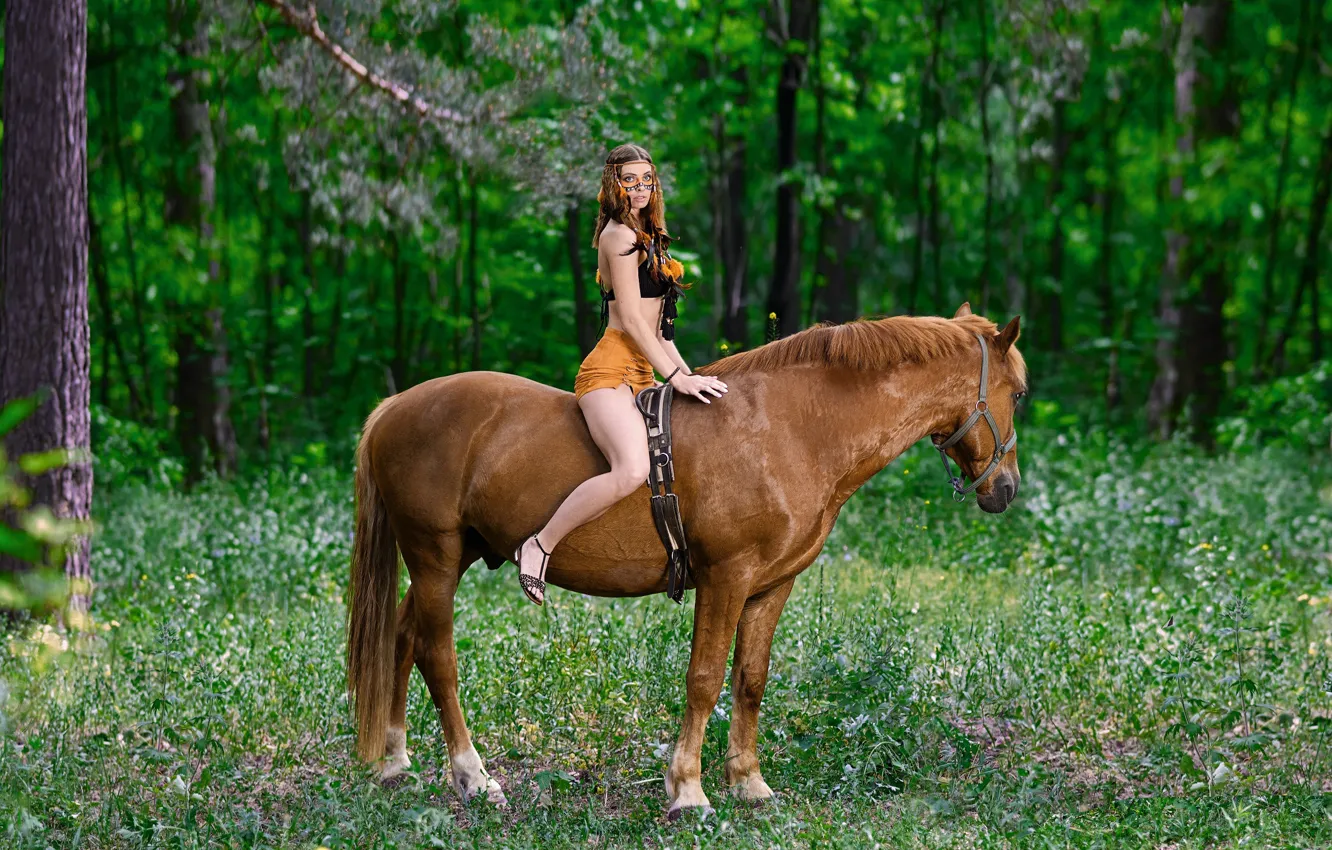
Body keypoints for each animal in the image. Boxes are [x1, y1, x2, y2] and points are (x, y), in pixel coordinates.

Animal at [345, 304, 1026, 817]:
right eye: (1018, 392)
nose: (1006, 488)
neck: (791, 428)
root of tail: (394, 407)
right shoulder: (726, 579)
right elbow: (703, 680)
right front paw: (689, 791)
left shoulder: (770, 587)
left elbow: (750, 680)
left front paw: (748, 782)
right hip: (434, 556)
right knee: (437, 656)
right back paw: (472, 776)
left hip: (450, 558)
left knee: (402, 637)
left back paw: (395, 762)